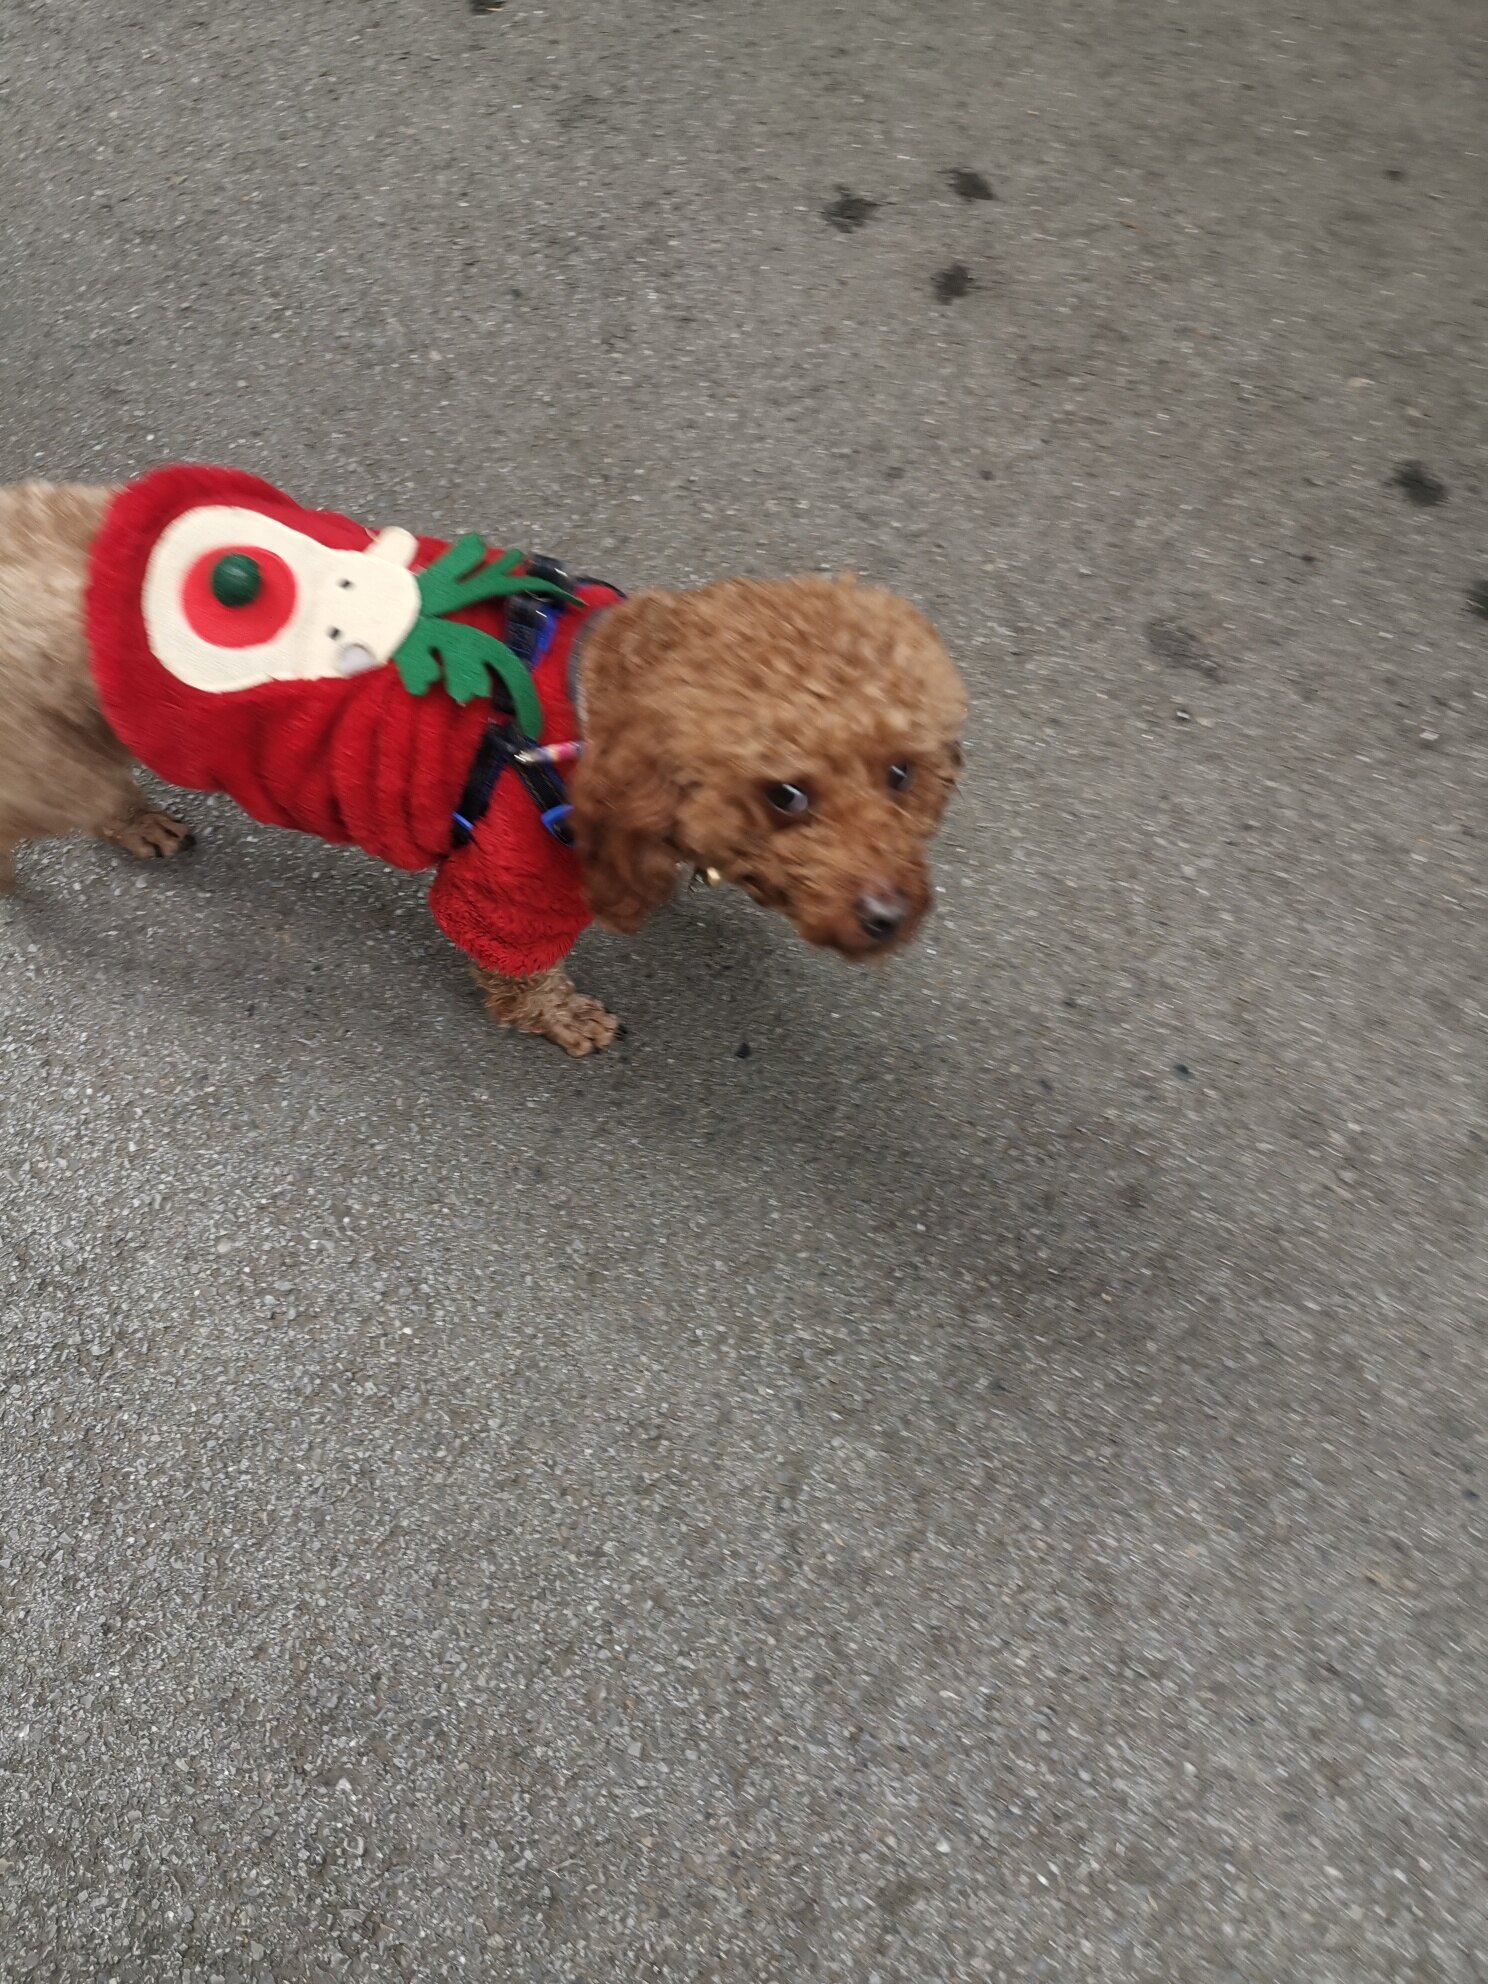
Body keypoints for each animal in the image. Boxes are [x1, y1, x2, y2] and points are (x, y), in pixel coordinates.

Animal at [0, 470, 966, 1054]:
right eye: (786, 794)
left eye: (902, 774)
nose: (891, 916)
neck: (587, 702)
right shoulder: (506, 882)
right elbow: (523, 973)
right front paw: (558, 1017)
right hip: (52, 761)